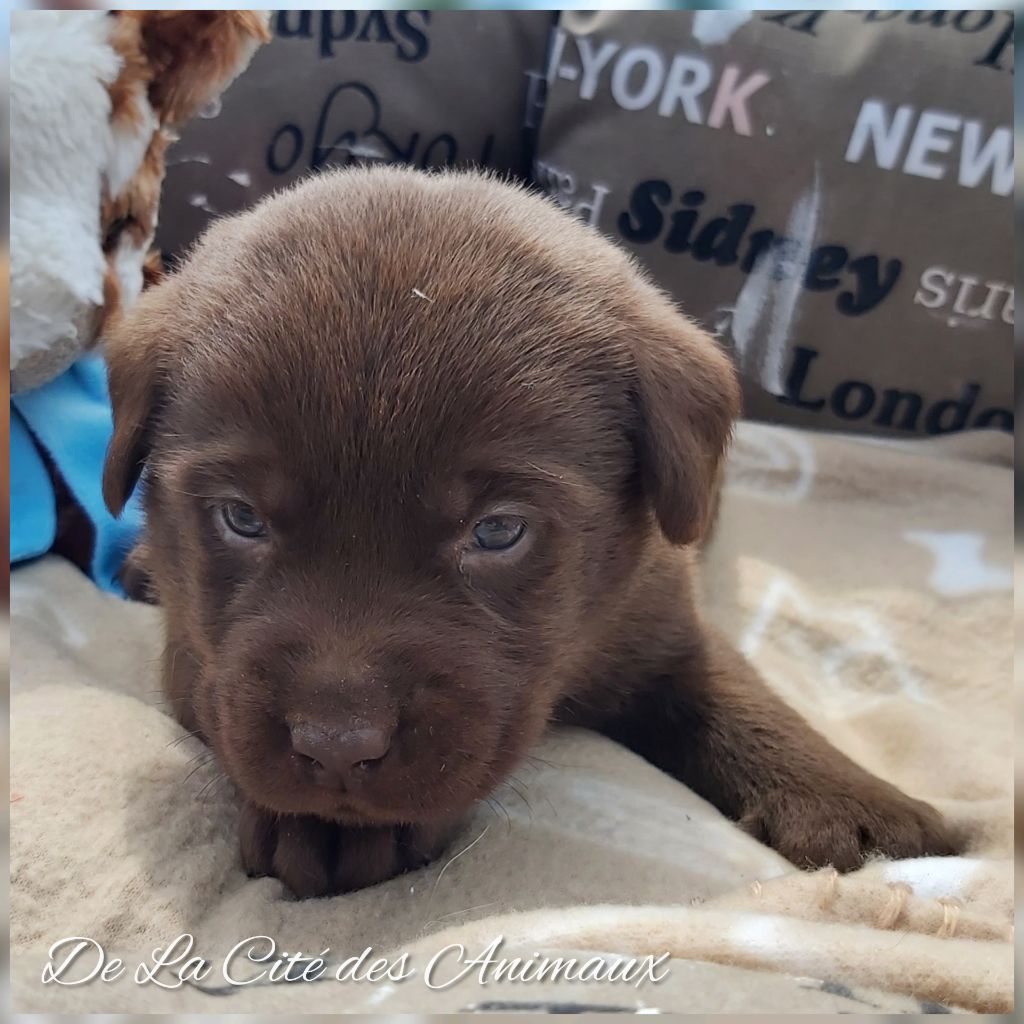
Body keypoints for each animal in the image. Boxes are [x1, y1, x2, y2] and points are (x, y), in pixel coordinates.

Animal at [102, 167, 957, 898]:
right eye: (241, 517)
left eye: (499, 531)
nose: (338, 745)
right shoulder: (198, 657)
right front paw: (322, 826)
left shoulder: (660, 611)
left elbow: (734, 692)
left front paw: (856, 806)